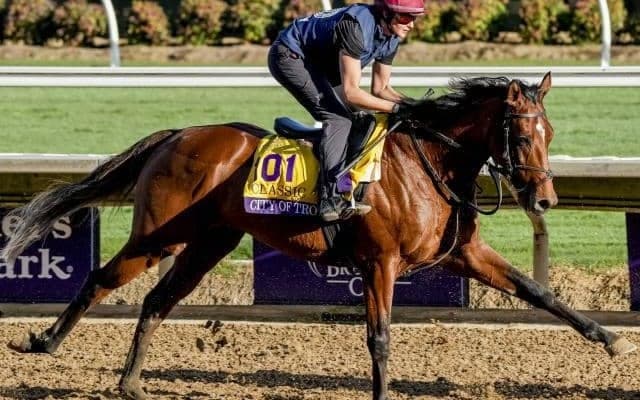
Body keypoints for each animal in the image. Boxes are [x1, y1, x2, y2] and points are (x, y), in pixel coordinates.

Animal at [2, 73, 636, 400]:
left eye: (551, 133)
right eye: (523, 136)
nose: (546, 200)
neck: (430, 161)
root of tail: (176, 134)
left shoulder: (462, 253)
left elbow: (538, 291)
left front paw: (609, 340)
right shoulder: (380, 261)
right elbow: (379, 337)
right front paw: (382, 393)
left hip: (209, 243)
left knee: (157, 299)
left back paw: (132, 383)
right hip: (160, 235)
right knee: (102, 278)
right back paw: (43, 342)